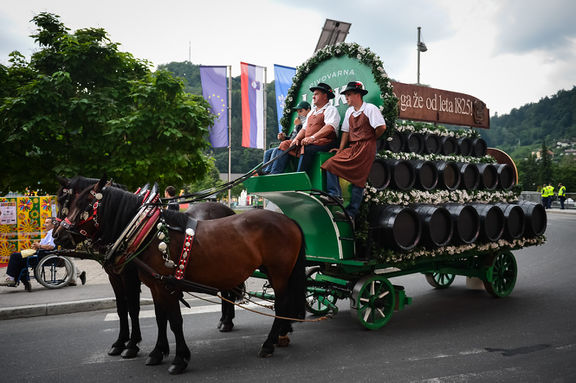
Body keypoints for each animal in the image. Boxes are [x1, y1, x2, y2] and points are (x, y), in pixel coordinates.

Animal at [54, 179, 308, 376]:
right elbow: (158, 318)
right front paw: (156, 352)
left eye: (85, 205)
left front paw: (178, 358)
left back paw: (269, 343)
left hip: (279, 272)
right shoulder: (154, 285)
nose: (59, 236)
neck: (147, 233)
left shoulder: (163, 286)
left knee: (282, 304)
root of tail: (289, 220)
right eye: (67, 202)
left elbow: (172, 320)